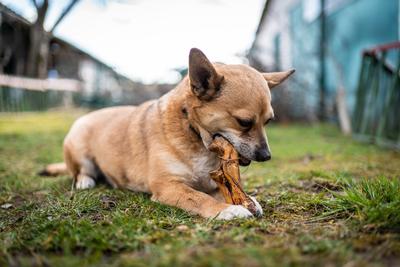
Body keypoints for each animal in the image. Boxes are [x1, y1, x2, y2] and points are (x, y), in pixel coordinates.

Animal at [44, 48, 294, 220]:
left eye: (268, 121)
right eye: (244, 122)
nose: (266, 156)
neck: (196, 137)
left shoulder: (212, 183)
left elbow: (216, 192)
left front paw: (248, 200)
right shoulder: (169, 186)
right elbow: (200, 198)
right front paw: (227, 210)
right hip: (78, 146)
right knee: (80, 171)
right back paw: (86, 180)